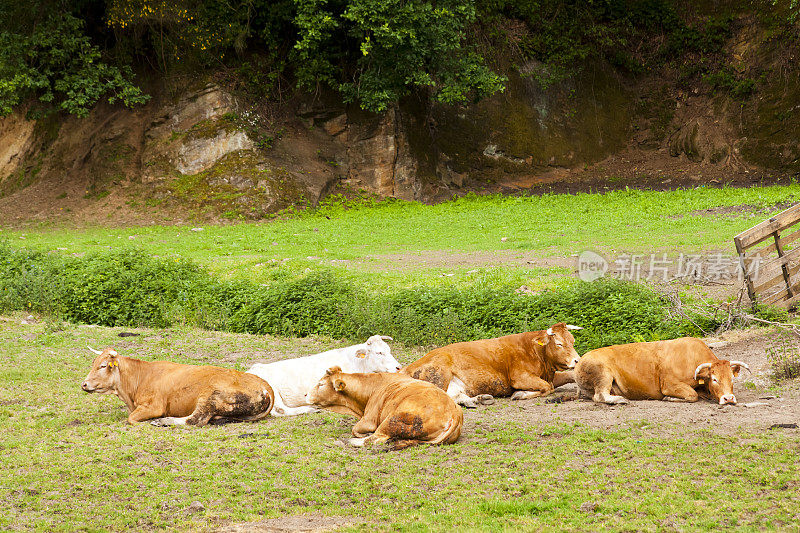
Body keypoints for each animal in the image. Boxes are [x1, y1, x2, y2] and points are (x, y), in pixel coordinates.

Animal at [81, 348, 276, 426]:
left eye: (103, 366)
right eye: (94, 363)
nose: (84, 384)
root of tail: (265, 386)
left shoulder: (154, 406)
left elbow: (131, 419)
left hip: (210, 397)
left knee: (195, 420)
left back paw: (163, 422)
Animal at [247, 332, 404, 416]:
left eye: (389, 350)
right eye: (379, 352)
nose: (398, 367)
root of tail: (252, 369)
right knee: (281, 410)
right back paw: (311, 408)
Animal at [310, 366, 466, 448]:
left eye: (321, 384)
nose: (306, 395)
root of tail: (454, 411)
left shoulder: (369, 420)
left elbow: (356, 429)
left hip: (392, 420)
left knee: (374, 439)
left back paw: (349, 441)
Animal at [400, 322, 580, 406]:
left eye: (573, 341)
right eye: (559, 344)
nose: (576, 360)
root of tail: (406, 368)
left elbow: (566, 376)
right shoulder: (519, 377)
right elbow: (547, 387)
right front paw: (520, 394)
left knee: (455, 396)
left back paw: (480, 399)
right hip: (439, 374)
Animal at [576, 336, 752, 404]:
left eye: (732, 379)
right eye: (714, 379)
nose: (728, 398)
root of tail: (580, 361)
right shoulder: (669, 384)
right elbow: (692, 395)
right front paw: (670, 398)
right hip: (603, 374)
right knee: (600, 396)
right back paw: (620, 400)